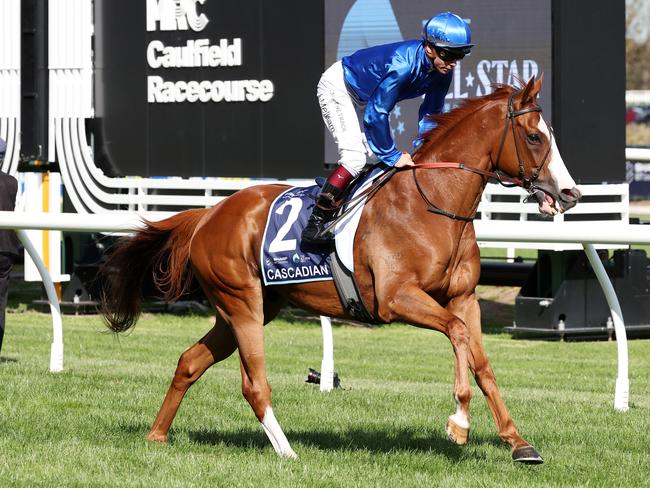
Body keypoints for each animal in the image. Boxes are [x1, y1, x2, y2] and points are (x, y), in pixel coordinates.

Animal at [100, 76, 576, 462]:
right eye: (534, 137)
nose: (570, 193)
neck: (431, 203)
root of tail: (209, 214)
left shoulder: (463, 298)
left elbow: (480, 362)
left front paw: (518, 443)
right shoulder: (396, 299)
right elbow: (458, 337)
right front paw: (459, 422)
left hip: (247, 308)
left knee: (189, 362)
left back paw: (157, 436)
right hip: (242, 305)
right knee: (253, 384)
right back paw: (287, 452)